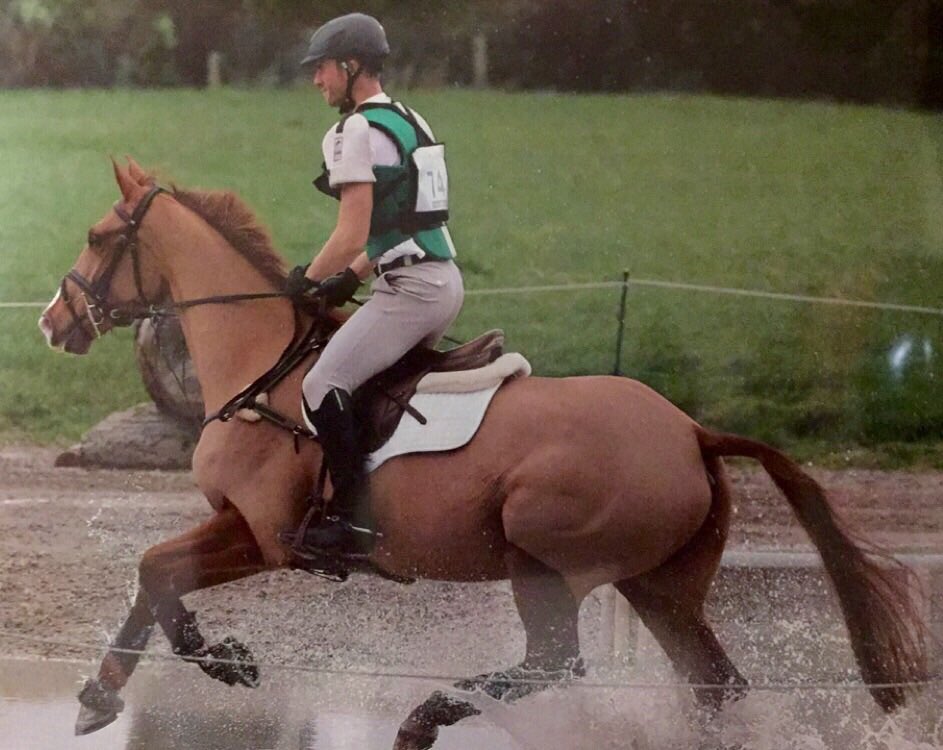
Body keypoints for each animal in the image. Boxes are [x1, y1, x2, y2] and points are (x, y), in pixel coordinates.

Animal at [39, 158, 927, 748]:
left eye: (96, 237)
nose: (54, 321)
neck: (263, 360)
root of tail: (689, 431)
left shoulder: (267, 536)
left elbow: (160, 573)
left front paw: (226, 663)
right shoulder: (237, 525)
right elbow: (153, 575)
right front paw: (99, 695)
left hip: (543, 557)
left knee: (554, 661)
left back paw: (425, 716)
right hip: (660, 586)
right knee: (711, 684)